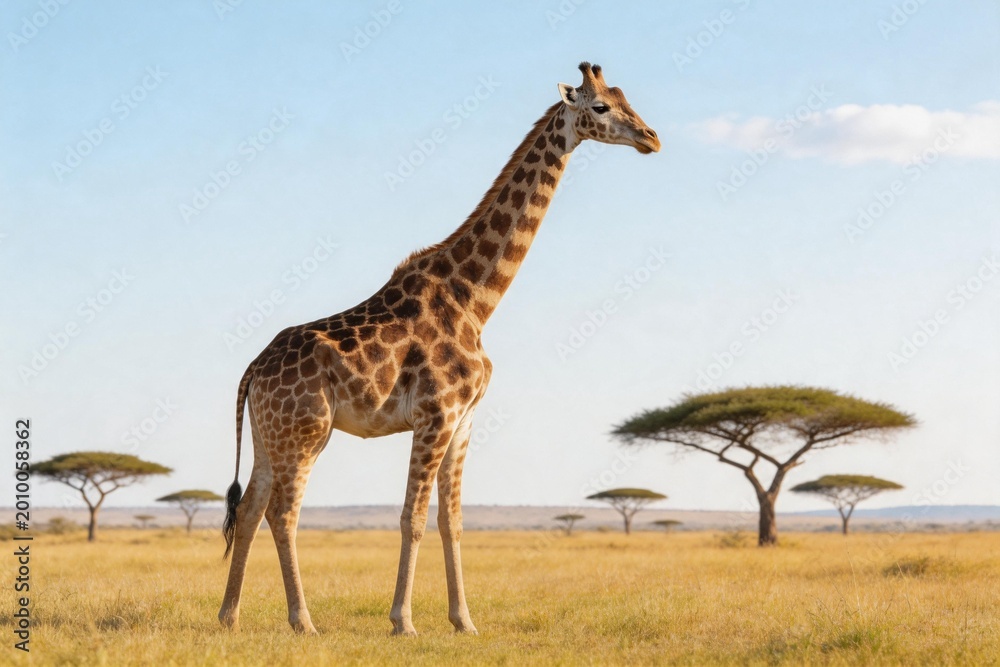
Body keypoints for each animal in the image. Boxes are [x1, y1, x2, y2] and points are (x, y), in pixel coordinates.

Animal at [218, 62, 660, 636]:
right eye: (601, 106)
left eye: (626, 97)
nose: (651, 138)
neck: (476, 299)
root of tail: (251, 371)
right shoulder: (436, 414)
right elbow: (413, 518)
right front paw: (403, 622)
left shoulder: (464, 420)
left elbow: (452, 521)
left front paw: (464, 621)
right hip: (307, 431)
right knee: (282, 512)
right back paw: (302, 621)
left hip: (270, 433)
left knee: (249, 508)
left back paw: (229, 615)